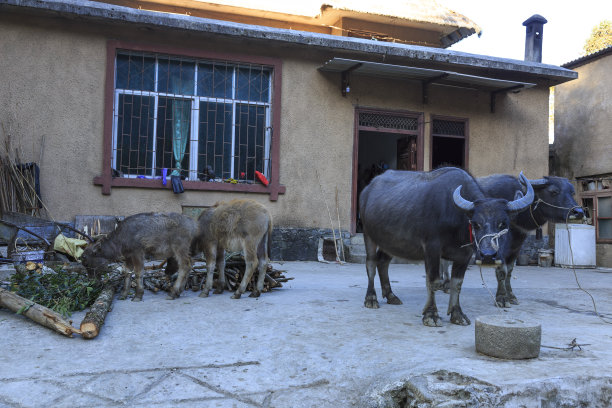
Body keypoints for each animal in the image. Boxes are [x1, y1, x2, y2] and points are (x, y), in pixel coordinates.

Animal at [360, 166, 532, 326]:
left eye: (503, 223)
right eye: (476, 224)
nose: (488, 256)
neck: (456, 219)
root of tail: (366, 190)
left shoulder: (465, 255)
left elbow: (457, 284)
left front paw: (457, 314)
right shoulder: (431, 249)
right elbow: (433, 281)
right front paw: (431, 315)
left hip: (391, 242)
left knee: (383, 262)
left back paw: (391, 295)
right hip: (368, 234)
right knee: (371, 264)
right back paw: (371, 299)